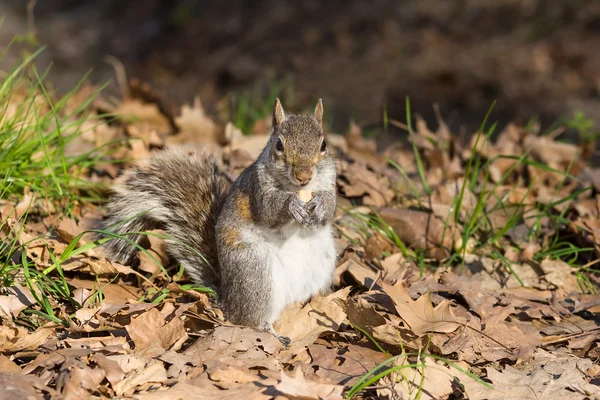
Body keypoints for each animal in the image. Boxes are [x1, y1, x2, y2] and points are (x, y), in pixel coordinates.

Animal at [97, 97, 338, 344]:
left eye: (323, 145)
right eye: (279, 145)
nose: (304, 176)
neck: (299, 189)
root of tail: (227, 299)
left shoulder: (330, 181)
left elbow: (331, 207)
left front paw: (321, 205)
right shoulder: (257, 189)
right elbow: (269, 211)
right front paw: (291, 204)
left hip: (321, 266)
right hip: (256, 272)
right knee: (249, 318)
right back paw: (271, 333)